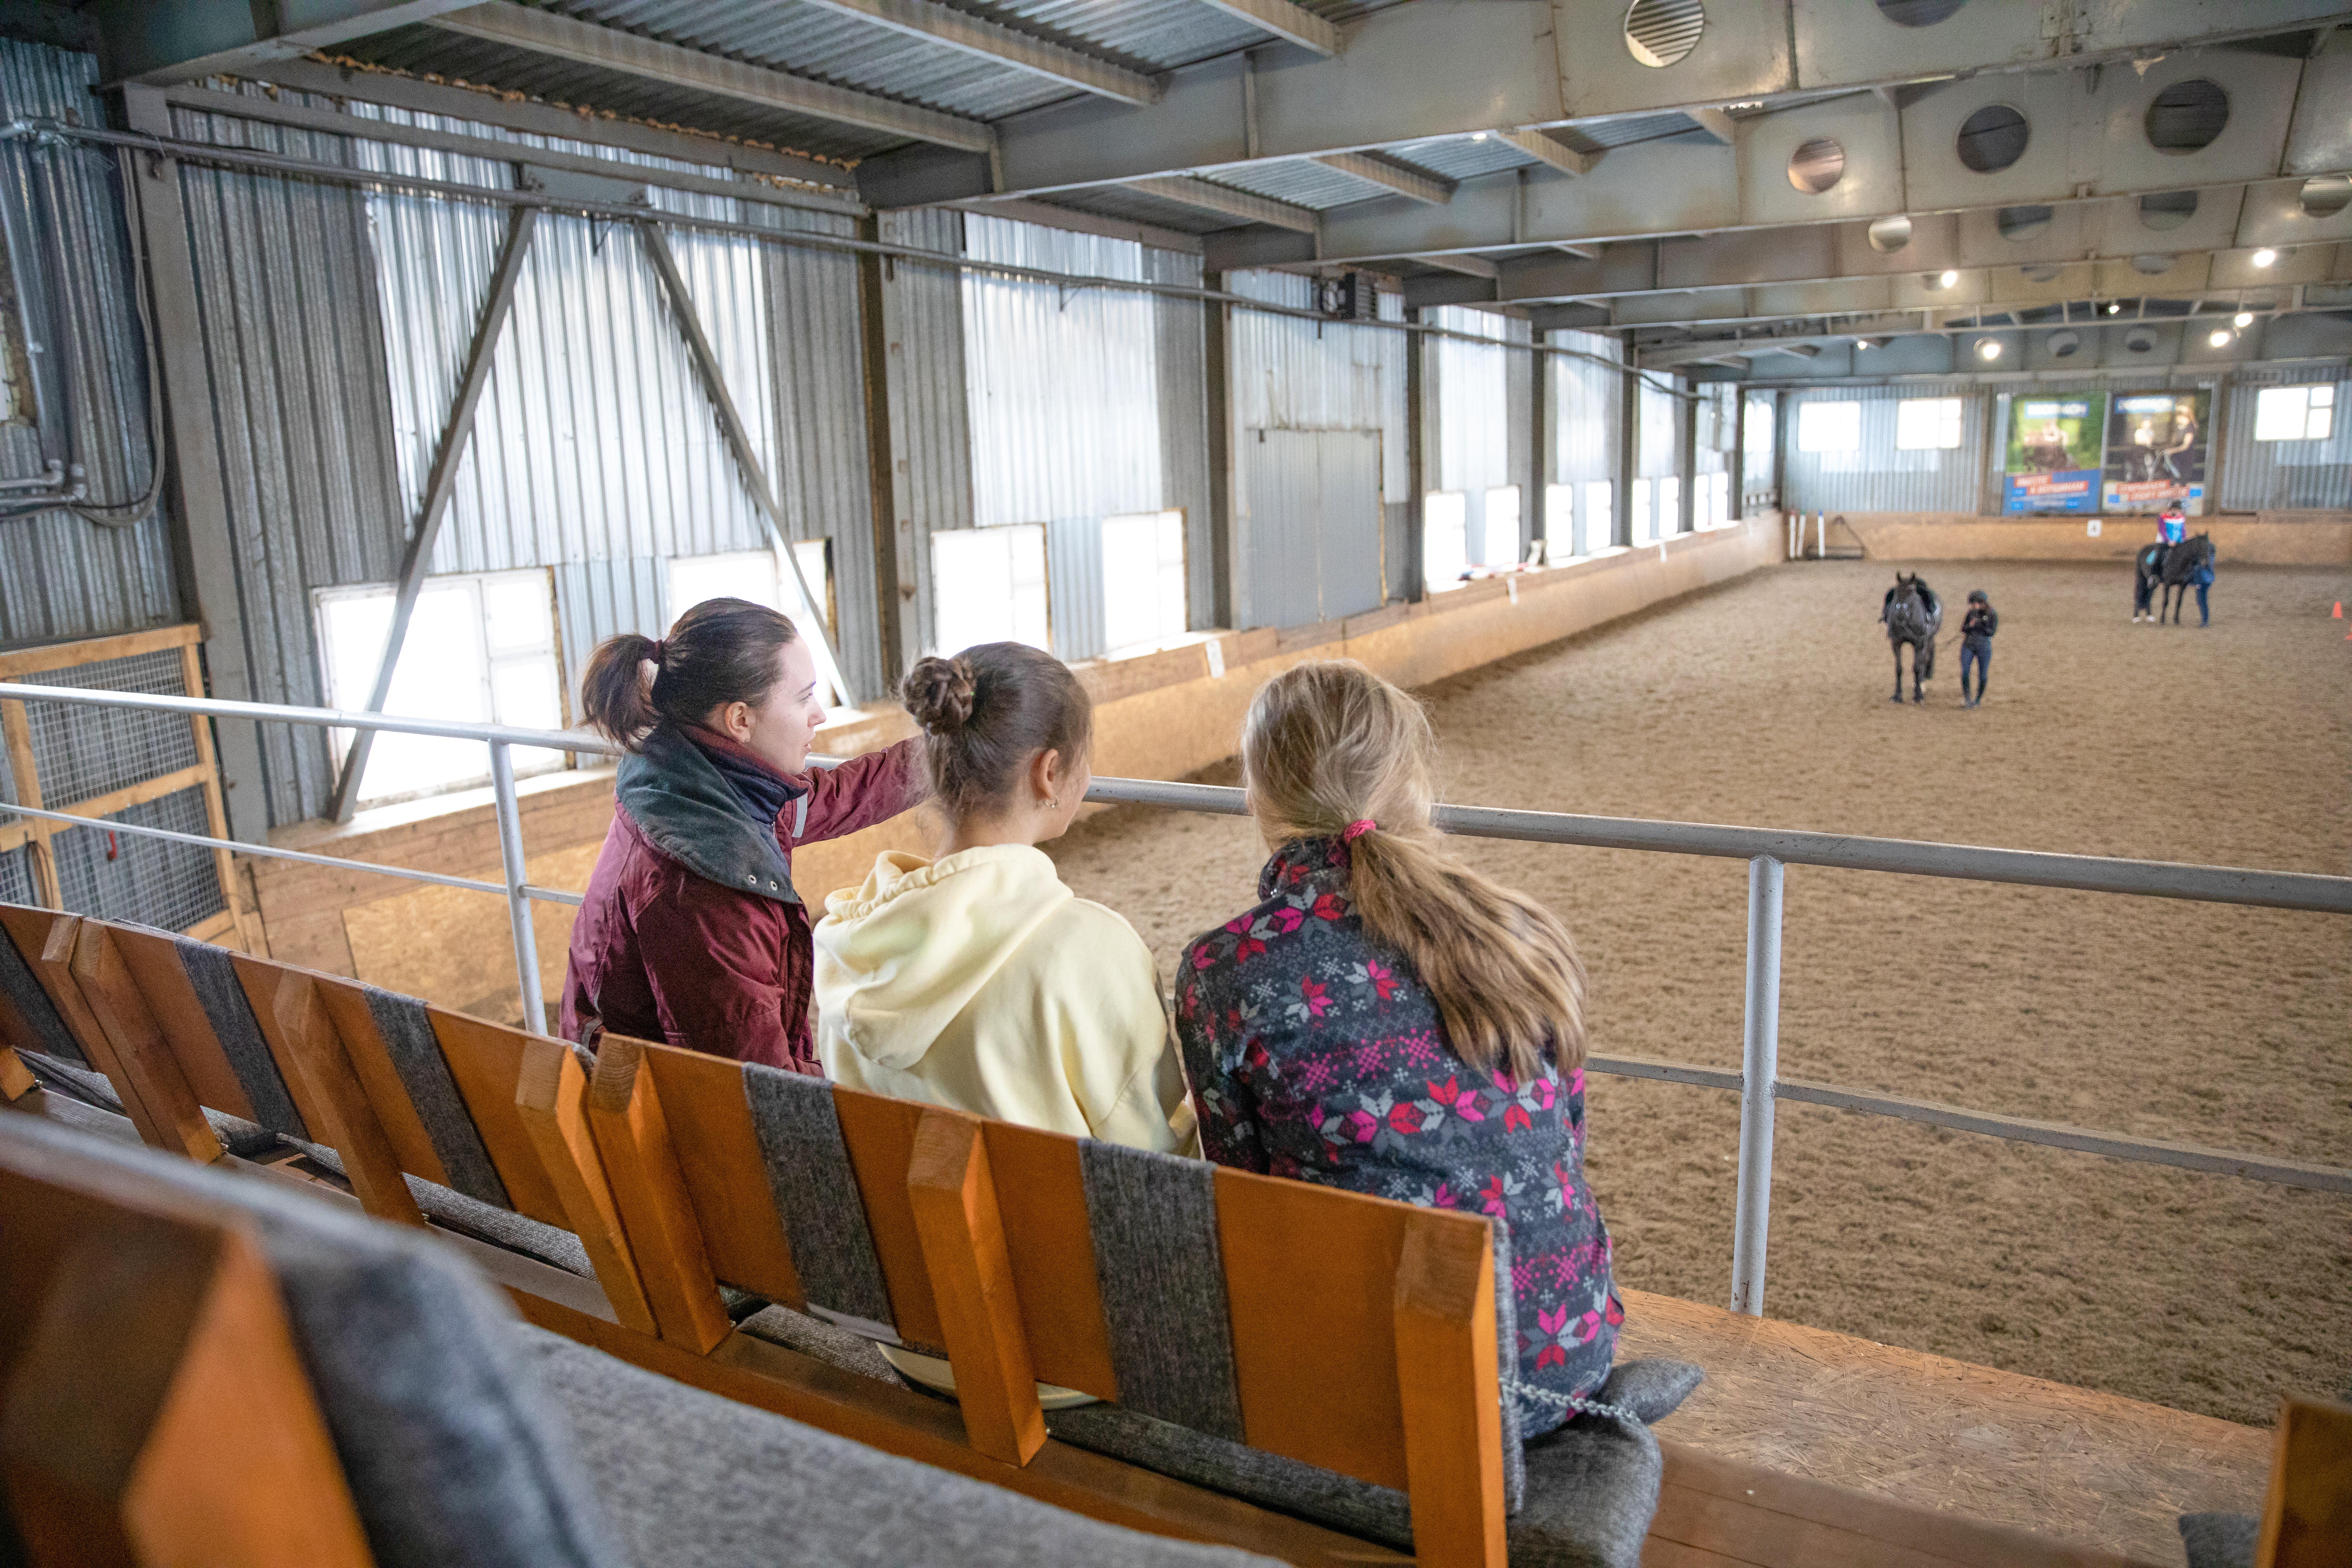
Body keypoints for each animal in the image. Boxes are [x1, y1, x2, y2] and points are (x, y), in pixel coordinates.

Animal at [1882, 573, 1938, 700]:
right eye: (1897, 592)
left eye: (1912, 593)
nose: (1901, 613)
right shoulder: (1896, 643)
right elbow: (1899, 669)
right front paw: (1897, 696)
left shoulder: (1918, 643)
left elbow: (1917, 667)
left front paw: (1918, 696)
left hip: (1928, 639)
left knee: (1924, 658)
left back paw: (1922, 682)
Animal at [2145, 540, 2211, 625]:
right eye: (2201, 548)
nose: (2206, 564)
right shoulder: (2167, 584)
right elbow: (2166, 601)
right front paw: (2163, 620)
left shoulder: (2183, 585)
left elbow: (2179, 602)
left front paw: (2176, 620)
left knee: (2149, 597)